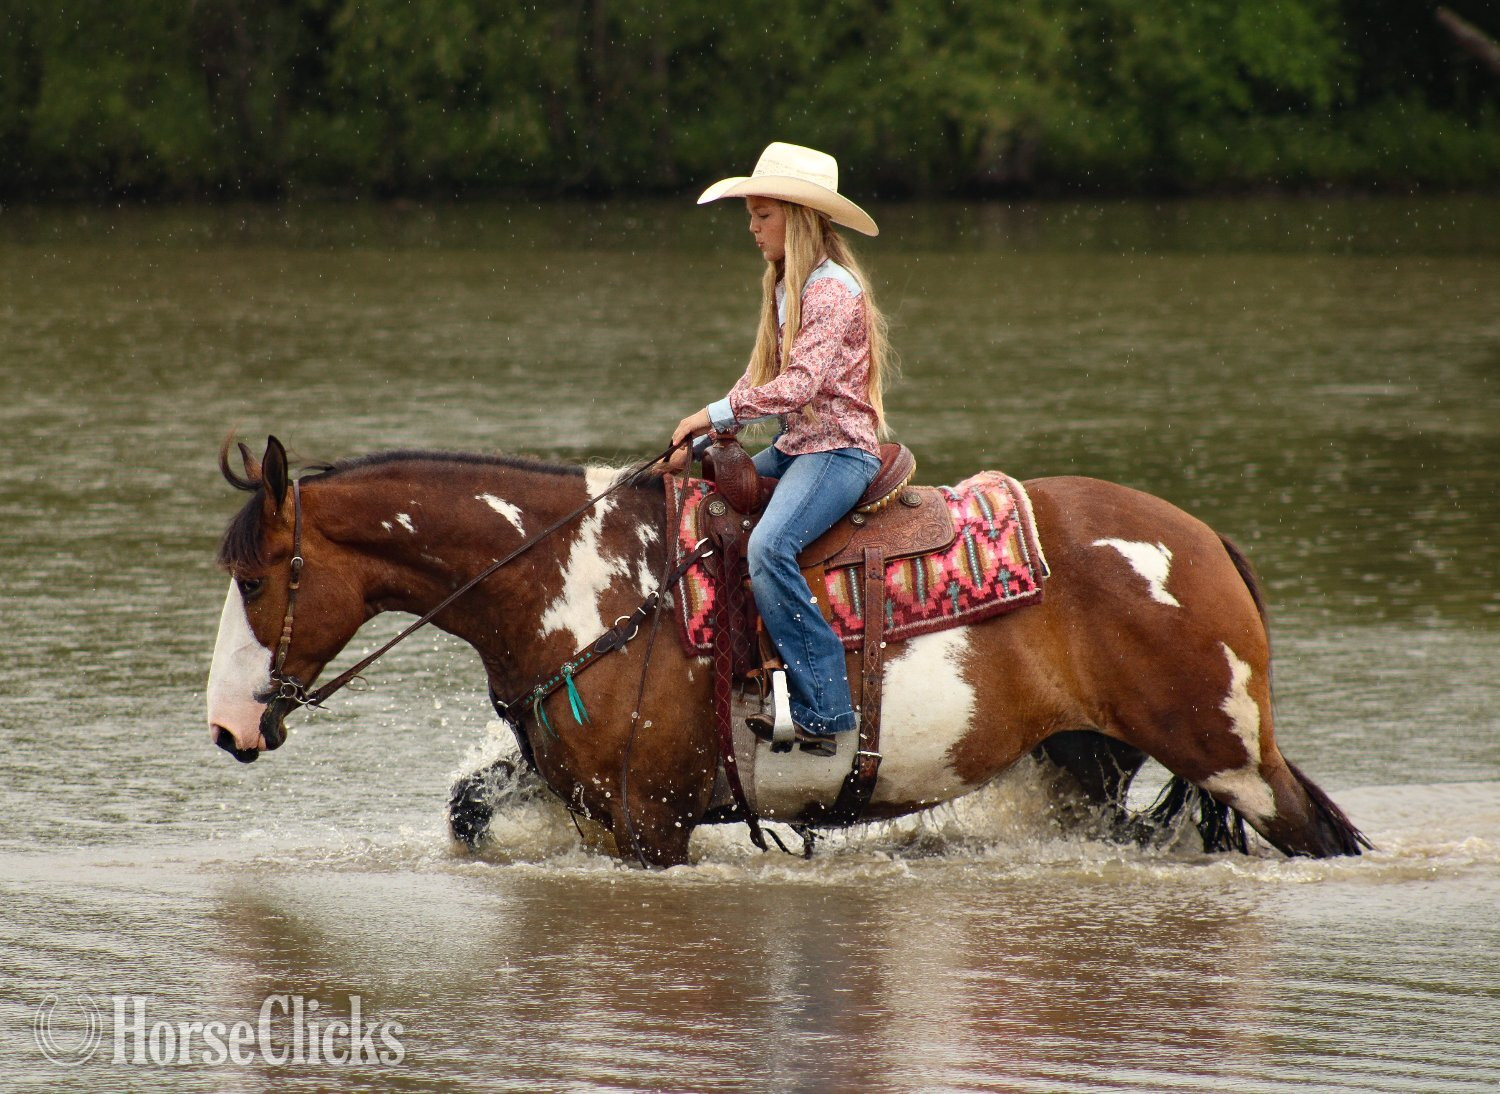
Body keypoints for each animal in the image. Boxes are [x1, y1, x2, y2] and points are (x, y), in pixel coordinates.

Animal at [207, 436, 1368, 867]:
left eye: (257, 578)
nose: (226, 727)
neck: (580, 587)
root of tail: (1204, 539)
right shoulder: (588, 801)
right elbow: (473, 809)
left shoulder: (652, 822)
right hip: (1086, 763)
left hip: (1232, 755)